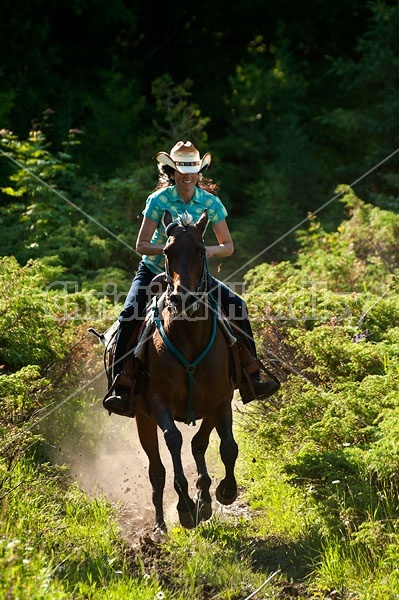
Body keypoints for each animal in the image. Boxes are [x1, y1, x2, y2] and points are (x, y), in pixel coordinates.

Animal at [136, 209, 239, 532]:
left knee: (198, 444)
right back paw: (159, 527)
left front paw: (223, 491)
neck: (190, 337)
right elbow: (174, 440)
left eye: (200, 250)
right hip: (142, 419)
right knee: (156, 470)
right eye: (167, 252)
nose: (183, 298)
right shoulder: (159, 403)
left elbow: (225, 446)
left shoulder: (220, 400)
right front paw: (185, 507)